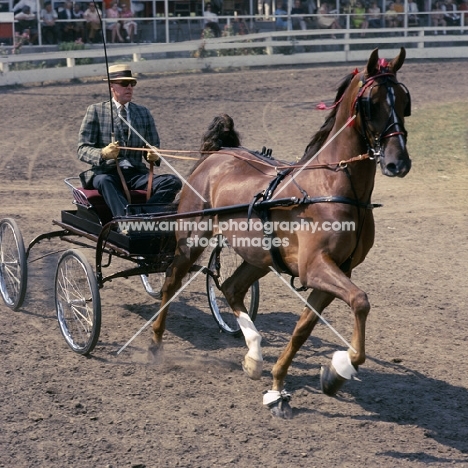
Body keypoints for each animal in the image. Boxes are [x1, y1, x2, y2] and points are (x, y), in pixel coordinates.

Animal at [153, 49, 410, 418]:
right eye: (372, 102)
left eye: (404, 101)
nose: (397, 163)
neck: (332, 187)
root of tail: (216, 155)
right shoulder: (314, 267)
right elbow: (360, 301)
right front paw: (342, 367)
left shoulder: (338, 270)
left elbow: (304, 328)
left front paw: (293, 384)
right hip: (192, 241)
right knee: (171, 283)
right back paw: (156, 344)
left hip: (258, 256)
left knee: (231, 288)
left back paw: (254, 355)